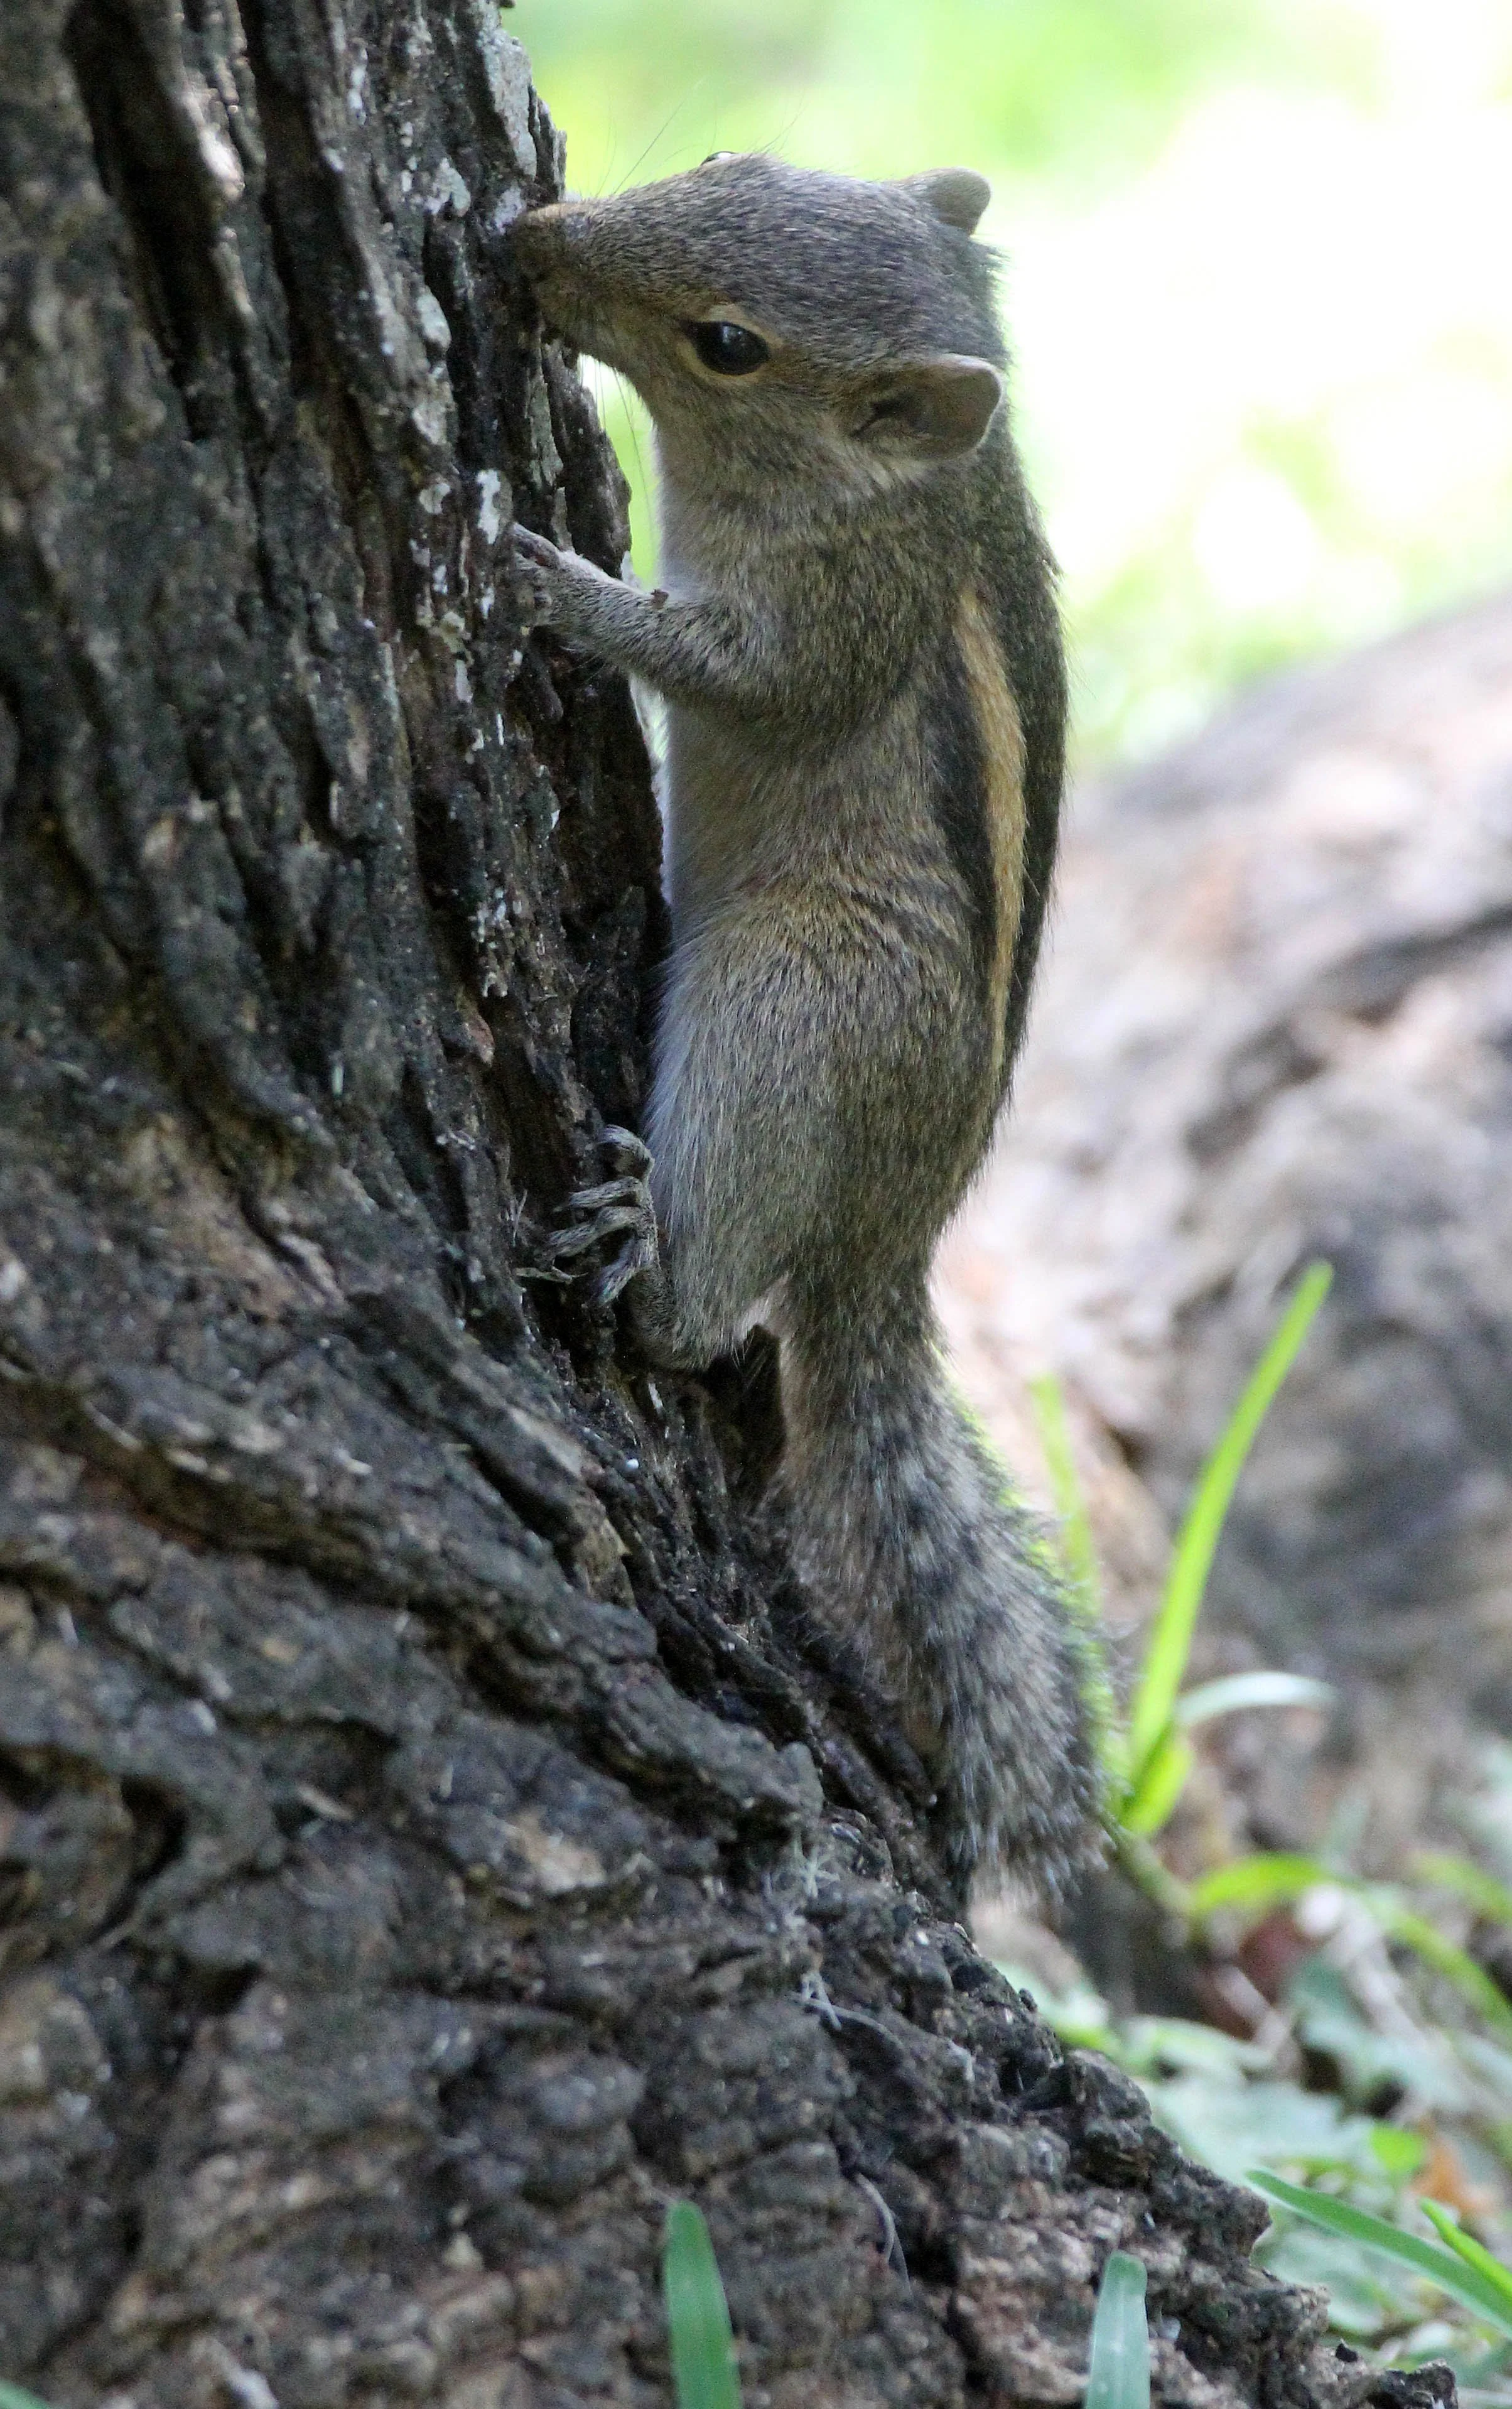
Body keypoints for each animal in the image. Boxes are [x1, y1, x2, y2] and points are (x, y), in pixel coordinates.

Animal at [510, 150, 1096, 1900]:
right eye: (730, 168)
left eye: (726, 344)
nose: (528, 237)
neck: (910, 492)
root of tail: (891, 1236)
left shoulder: (834, 621)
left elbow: (737, 672)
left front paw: (559, 582)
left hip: (795, 1011)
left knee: (703, 1322)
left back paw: (646, 1244)